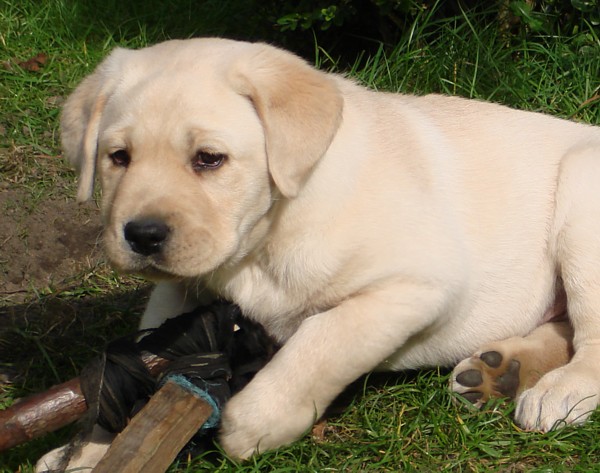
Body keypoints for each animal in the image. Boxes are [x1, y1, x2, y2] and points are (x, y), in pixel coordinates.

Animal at [36, 37, 600, 468]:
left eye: (209, 159)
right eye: (118, 158)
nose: (143, 235)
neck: (262, 244)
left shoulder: (418, 283)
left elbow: (319, 343)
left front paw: (251, 425)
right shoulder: (177, 292)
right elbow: (138, 360)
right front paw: (88, 448)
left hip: (581, 204)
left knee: (589, 334)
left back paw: (558, 389)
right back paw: (499, 370)